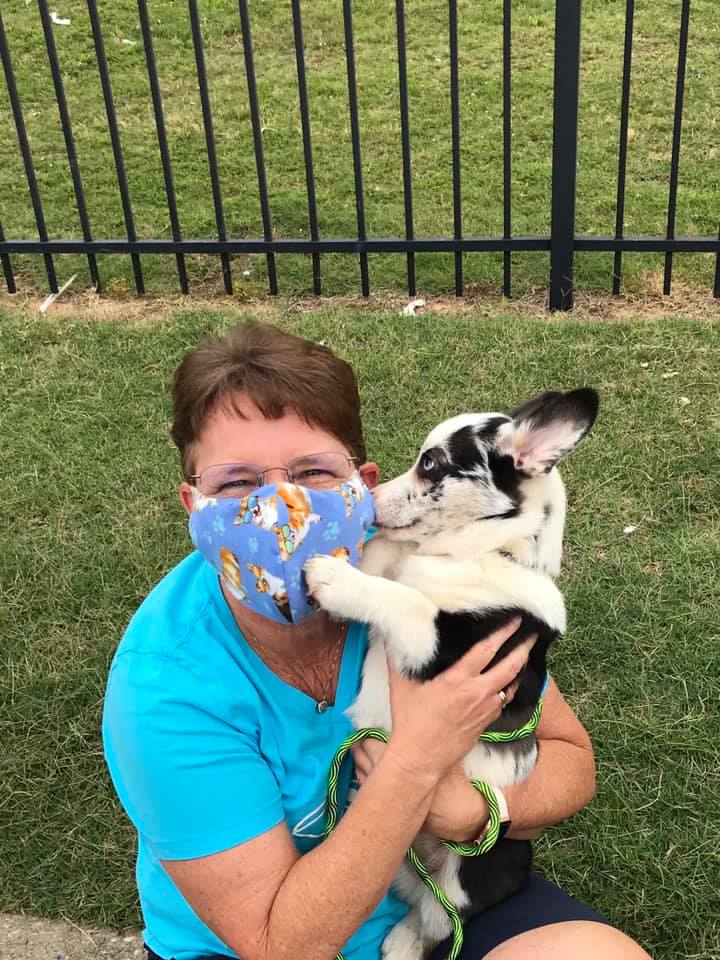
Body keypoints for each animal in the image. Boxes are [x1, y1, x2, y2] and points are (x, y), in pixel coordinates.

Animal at [304, 388, 599, 959]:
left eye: (432, 464)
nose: (371, 498)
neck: (485, 552)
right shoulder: (400, 564)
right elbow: (385, 560)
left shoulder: (443, 647)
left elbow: (401, 598)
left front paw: (330, 576)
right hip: (397, 864)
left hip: (468, 876)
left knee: (440, 918)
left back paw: (404, 941)